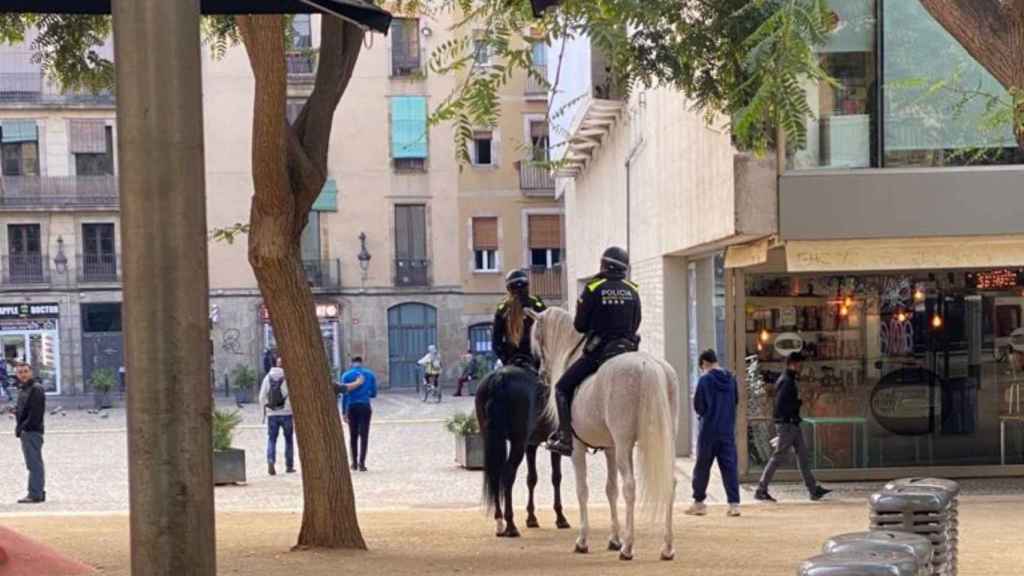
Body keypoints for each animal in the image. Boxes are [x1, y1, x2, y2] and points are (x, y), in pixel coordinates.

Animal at [528, 307, 679, 557]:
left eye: (537, 339)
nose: (541, 374)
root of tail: (648, 365)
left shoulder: (578, 449)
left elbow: (583, 490)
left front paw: (583, 540)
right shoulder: (610, 448)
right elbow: (610, 489)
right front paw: (613, 539)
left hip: (625, 444)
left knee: (630, 486)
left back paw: (628, 548)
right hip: (664, 442)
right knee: (669, 482)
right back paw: (666, 547)